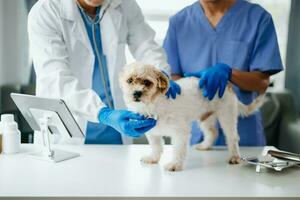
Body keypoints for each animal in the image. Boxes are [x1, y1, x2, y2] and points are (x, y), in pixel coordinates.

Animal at [118, 62, 264, 172]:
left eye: (147, 82)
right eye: (130, 80)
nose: (136, 93)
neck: (154, 105)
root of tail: (227, 84)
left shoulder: (180, 132)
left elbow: (178, 149)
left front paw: (175, 165)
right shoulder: (152, 132)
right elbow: (156, 146)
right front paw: (153, 158)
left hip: (227, 115)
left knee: (232, 137)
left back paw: (234, 157)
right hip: (206, 118)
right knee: (212, 132)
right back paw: (205, 146)